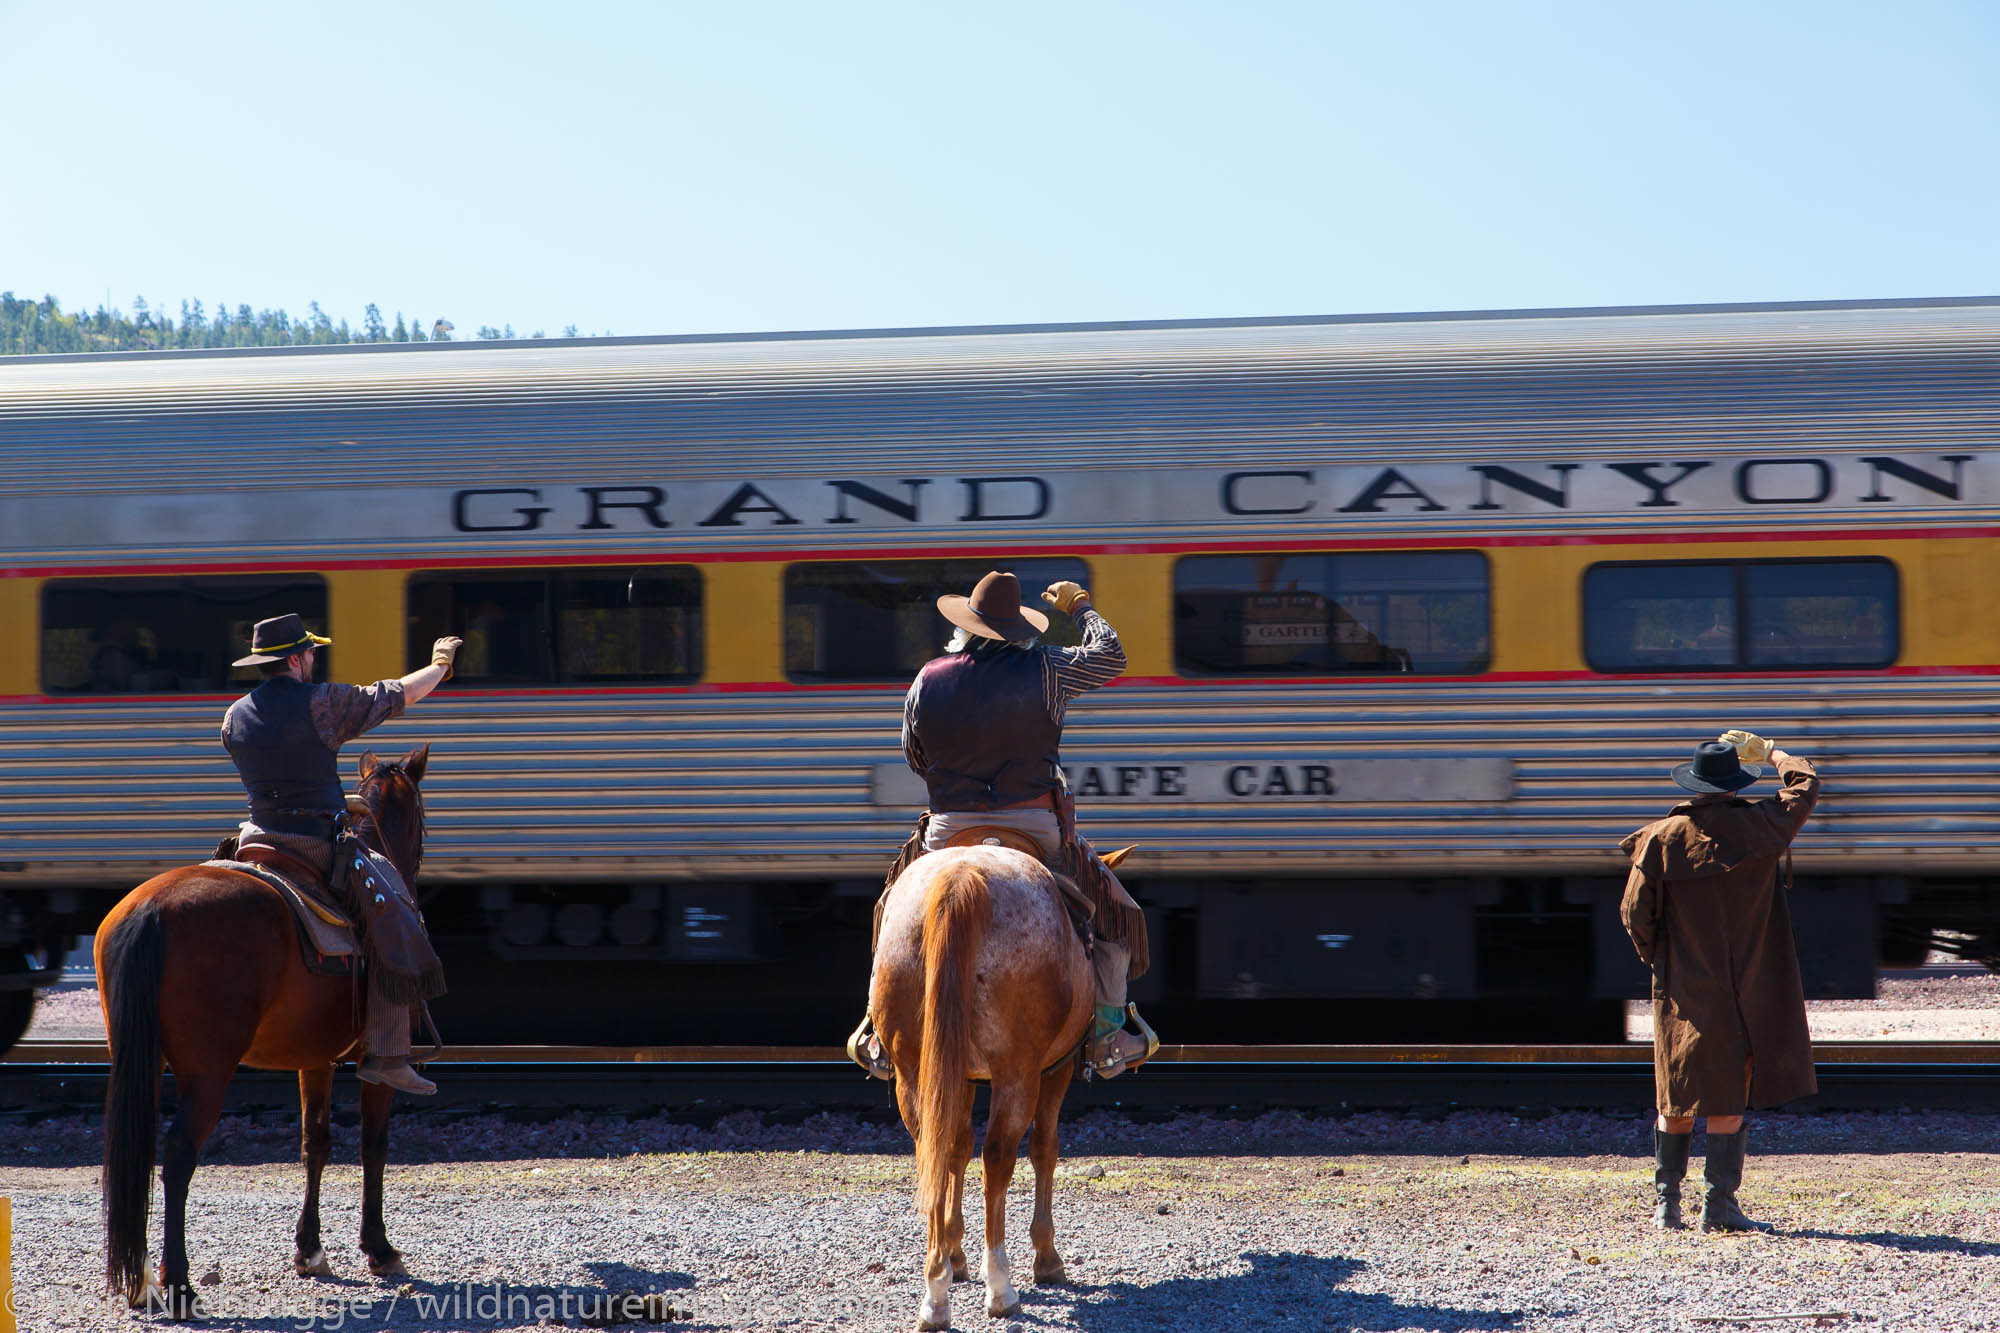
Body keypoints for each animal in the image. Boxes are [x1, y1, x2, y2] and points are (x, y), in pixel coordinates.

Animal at [97, 740, 434, 1312]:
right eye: (424, 821)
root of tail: (151, 911)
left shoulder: (315, 1060)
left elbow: (315, 1143)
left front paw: (310, 1250)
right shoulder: (379, 1064)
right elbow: (374, 1144)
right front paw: (379, 1248)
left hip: (137, 1061)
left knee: (135, 1154)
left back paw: (141, 1280)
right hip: (209, 1073)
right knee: (179, 1154)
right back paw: (178, 1281)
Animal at [872, 844, 1096, 1320]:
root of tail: (961, 878)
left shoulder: (958, 1074)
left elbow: (956, 1148)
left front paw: (954, 1254)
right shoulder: (1057, 1068)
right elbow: (1044, 1148)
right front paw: (1047, 1259)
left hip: (914, 1072)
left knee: (933, 1151)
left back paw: (935, 1292)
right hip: (1018, 1073)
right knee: (998, 1157)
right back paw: (1000, 1286)